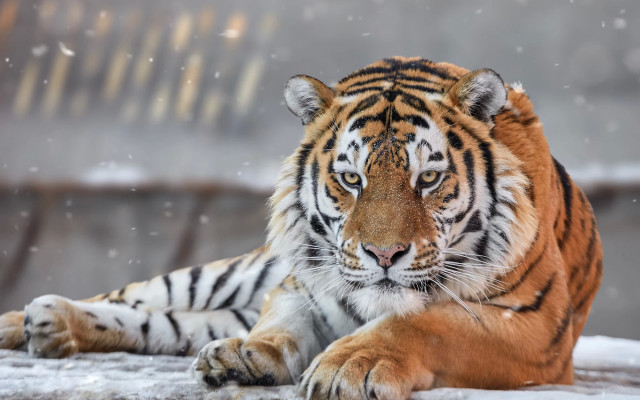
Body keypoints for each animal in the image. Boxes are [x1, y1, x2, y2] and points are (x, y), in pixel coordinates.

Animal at [0, 57, 602, 399]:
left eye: (428, 178)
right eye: (351, 179)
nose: (385, 255)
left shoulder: (534, 323)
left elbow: (425, 322)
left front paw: (348, 366)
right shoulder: (295, 286)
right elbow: (282, 324)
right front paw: (246, 355)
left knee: (163, 324)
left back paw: (49, 325)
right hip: (225, 275)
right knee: (142, 298)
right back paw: (30, 320)